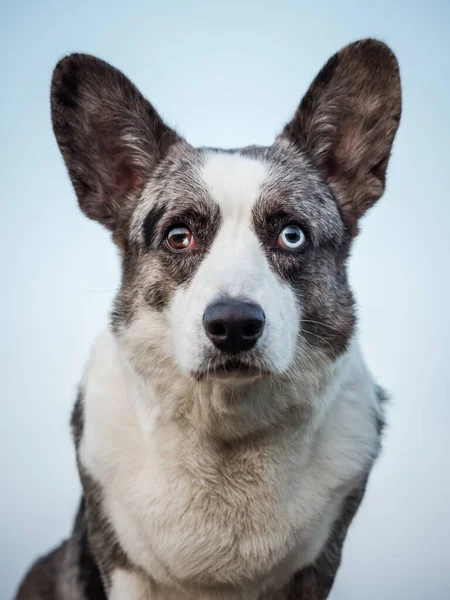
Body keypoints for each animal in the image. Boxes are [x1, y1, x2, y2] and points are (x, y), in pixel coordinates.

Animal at [15, 38, 400, 600]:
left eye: (291, 235)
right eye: (179, 236)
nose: (234, 325)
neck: (226, 429)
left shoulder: (316, 565)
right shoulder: (124, 565)